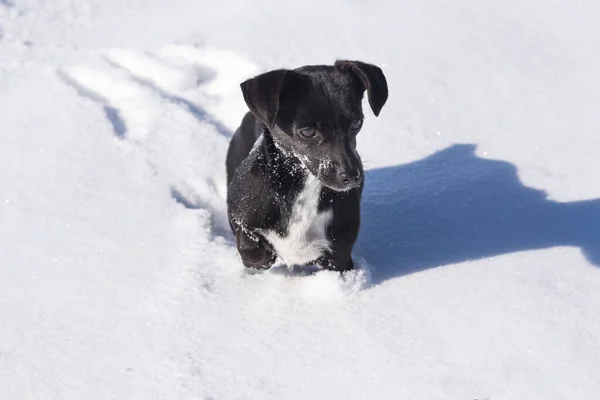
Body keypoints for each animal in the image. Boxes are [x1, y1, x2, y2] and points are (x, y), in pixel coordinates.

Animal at [225, 59, 390, 272]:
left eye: (356, 124)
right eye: (307, 132)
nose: (352, 176)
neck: (304, 186)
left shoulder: (340, 254)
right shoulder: (240, 210)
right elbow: (251, 248)